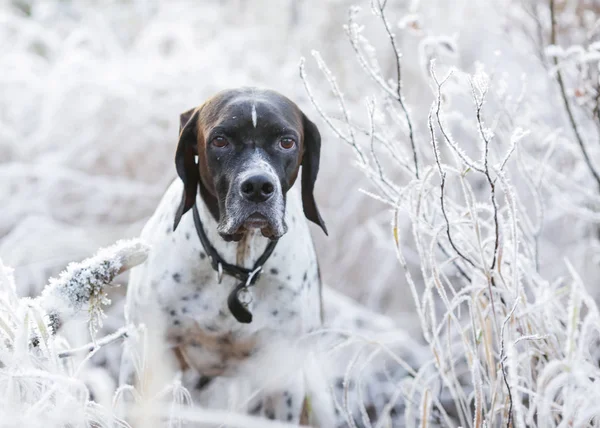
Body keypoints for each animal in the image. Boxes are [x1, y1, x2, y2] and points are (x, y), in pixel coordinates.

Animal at [120, 88, 330, 424]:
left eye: (287, 141)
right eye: (220, 140)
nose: (257, 186)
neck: (237, 266)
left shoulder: (283, 376)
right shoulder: (153, 355)